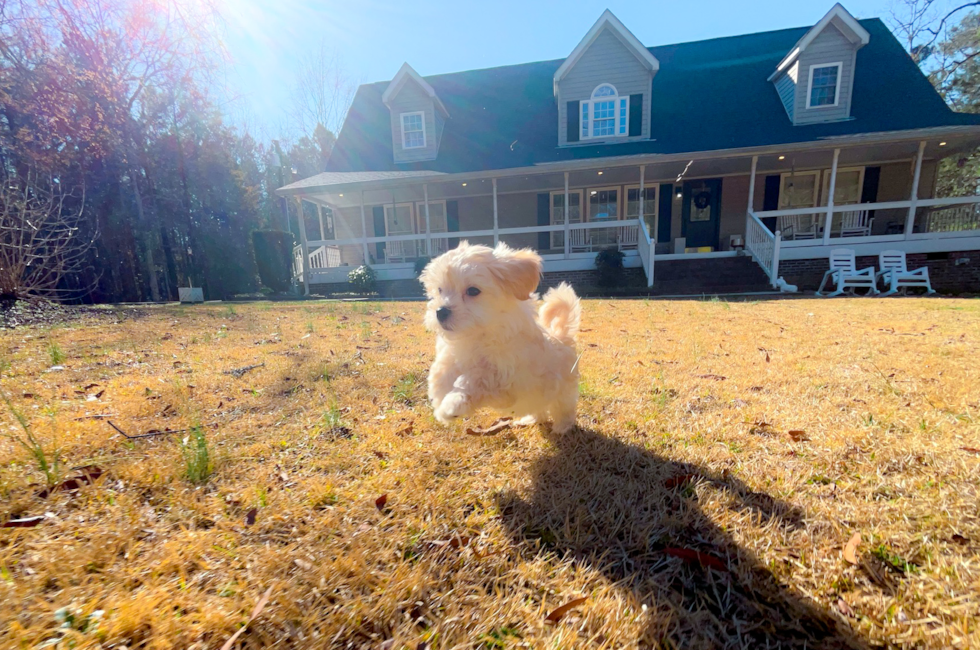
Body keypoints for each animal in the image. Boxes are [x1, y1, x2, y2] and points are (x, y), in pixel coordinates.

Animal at [416, 240, 580, 432]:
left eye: (473, 291)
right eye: (440, 290)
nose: (441, 311)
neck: (478, 335)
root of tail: (561, 336)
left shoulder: (507, 383)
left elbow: (477, 379)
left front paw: (453, 404)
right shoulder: (452, 357)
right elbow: (441, 373)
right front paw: (440, 401)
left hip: (564, 390)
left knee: (563, 408)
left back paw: (562, 427)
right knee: (539, 410)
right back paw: (530, 419)